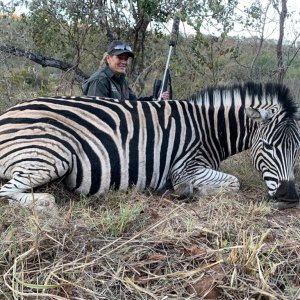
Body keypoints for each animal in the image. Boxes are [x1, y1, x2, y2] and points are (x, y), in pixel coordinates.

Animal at [0, 81, 298, 210]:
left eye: (297, 150)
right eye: (268, 146)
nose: (289, 197)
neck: (208, 130)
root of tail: (7, 112)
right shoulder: (185, 168)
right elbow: (233, 183)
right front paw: (189, 192)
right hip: (53, 155)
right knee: (7, 192)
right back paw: (44, 201)